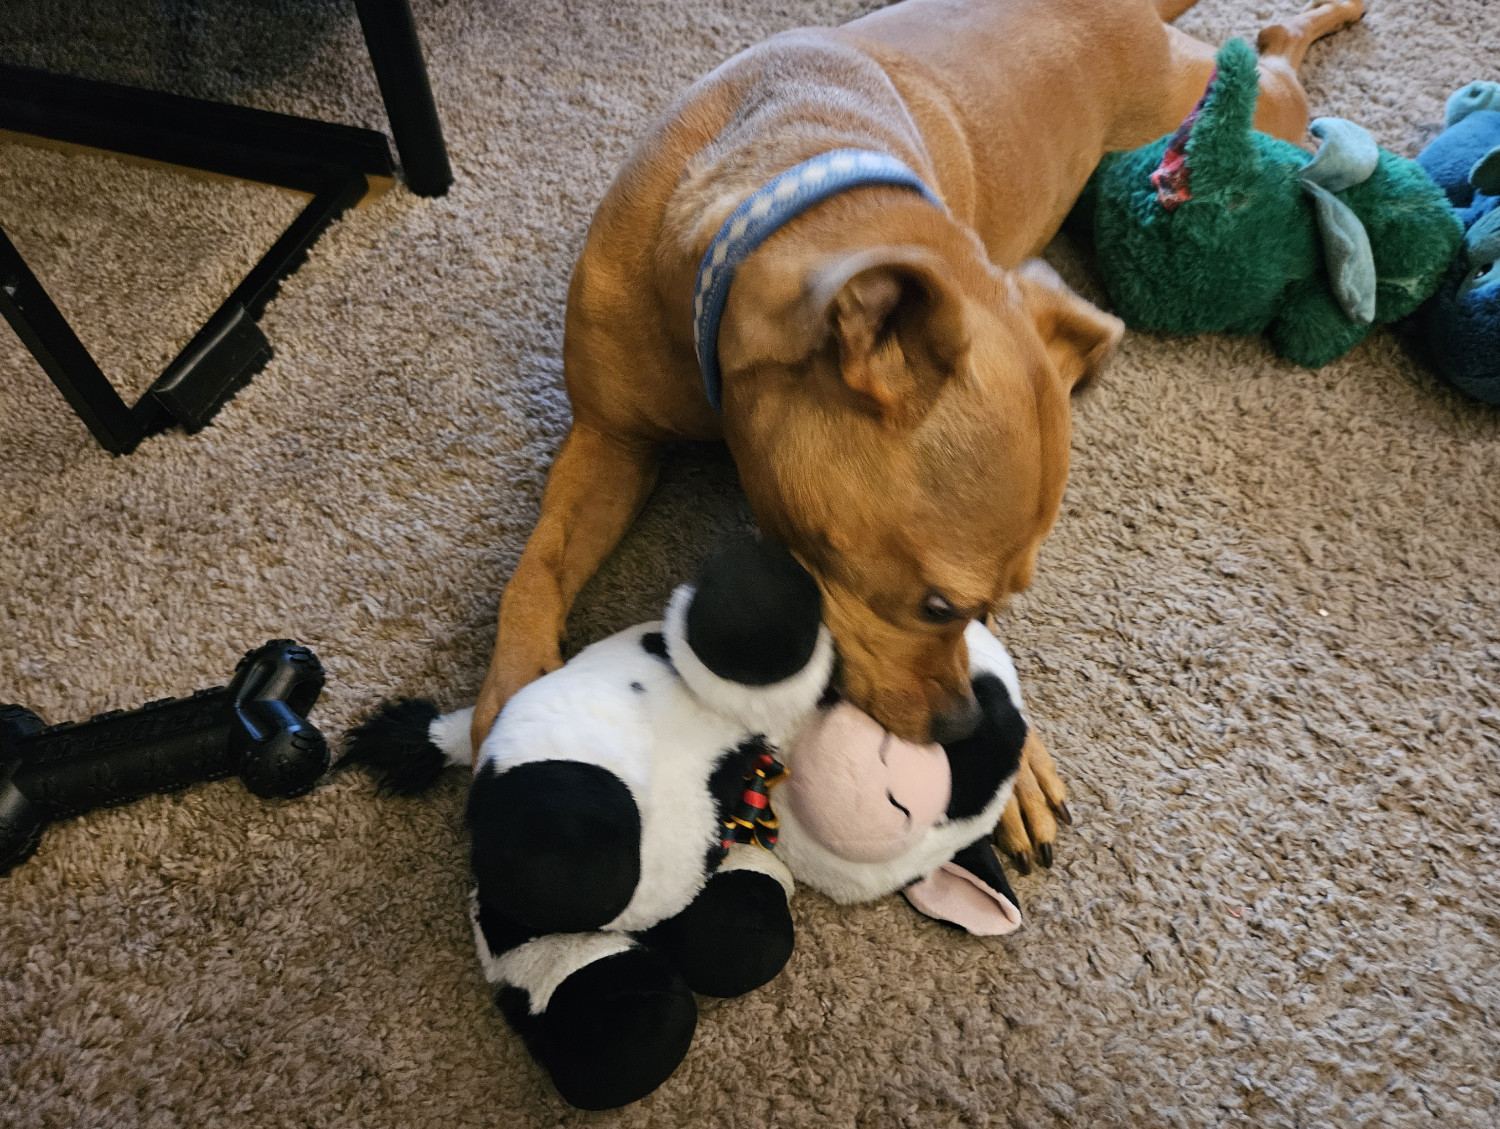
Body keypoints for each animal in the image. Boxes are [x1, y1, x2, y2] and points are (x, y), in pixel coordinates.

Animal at [474, 0, 1368, 863]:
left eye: (994, 606)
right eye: (939, 604)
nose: (964, 727)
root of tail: (1128, 12)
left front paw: (1021, 763)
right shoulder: (608, 438)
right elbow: (536, 570)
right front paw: (512, 707)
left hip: (1227, 108)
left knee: (1272, 47)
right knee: (1271, 41)